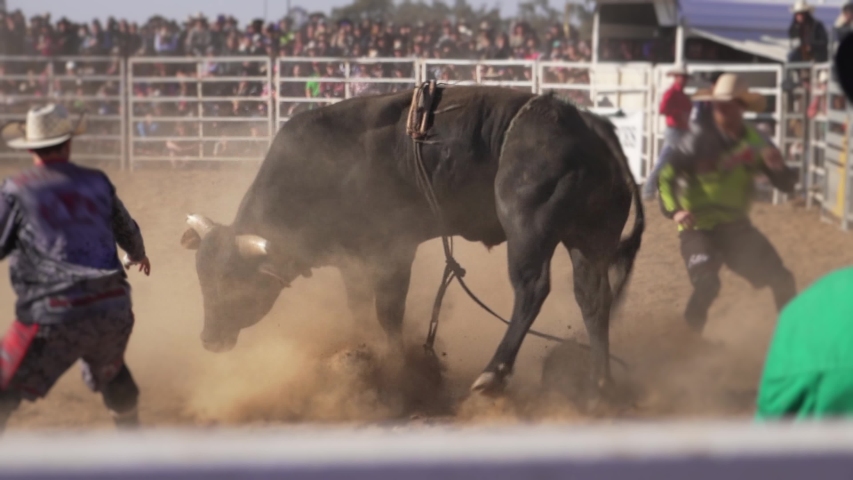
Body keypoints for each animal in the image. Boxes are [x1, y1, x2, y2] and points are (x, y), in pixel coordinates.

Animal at [181, 86, 644, 394]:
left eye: (234, 284)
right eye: (202, 280)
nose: (208, 339)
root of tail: (592, 124)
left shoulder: (393, 251)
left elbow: (388, 313)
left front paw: (398, 368)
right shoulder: (353, 258)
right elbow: (359, 309)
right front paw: (361, 355)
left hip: (529, 227)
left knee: (533, 290)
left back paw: (494, 372)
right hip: (590, 236)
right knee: (592, 297)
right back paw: (599, 382)